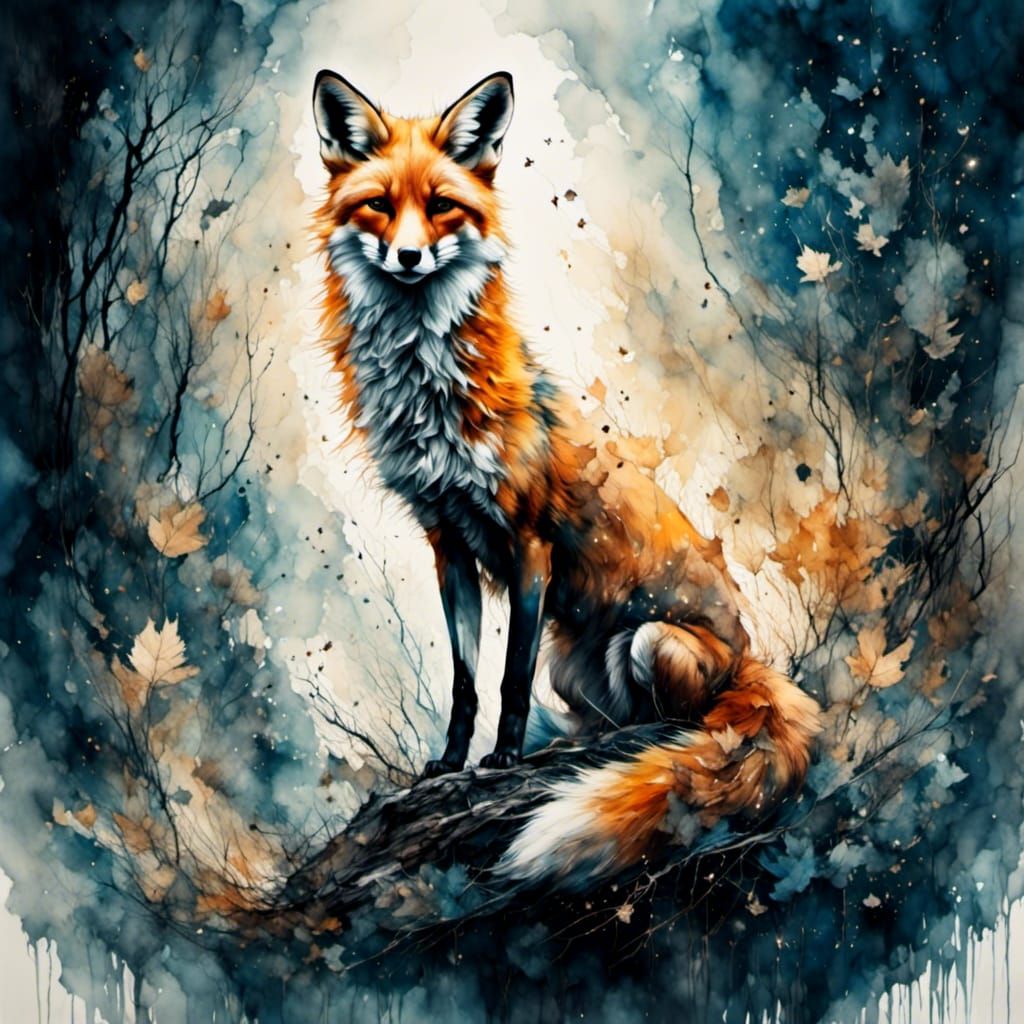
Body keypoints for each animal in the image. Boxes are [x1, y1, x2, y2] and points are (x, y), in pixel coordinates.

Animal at [311, 69, 823, 884]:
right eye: (379, 206)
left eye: (443, 206)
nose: (409, 258)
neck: (430, 388)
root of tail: (752, 662)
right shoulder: (447, 543)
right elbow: (466, 681)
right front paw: (450, 763)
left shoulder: (528, 545)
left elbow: (508, 679)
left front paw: (502, 760)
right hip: (575, 668)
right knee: (613, 719)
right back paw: (578, 746)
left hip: (649, 642)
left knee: (679, 727)